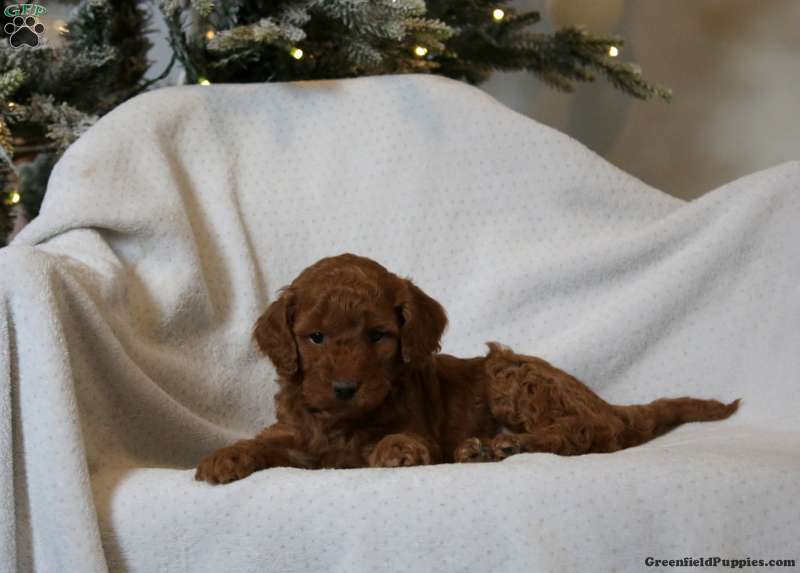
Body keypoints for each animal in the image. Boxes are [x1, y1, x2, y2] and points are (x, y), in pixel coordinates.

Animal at [196, 253, 739, 484]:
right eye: (315, 338)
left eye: (377, 336)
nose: (346, 387)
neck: (345, 420)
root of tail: (607, 402)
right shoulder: (299, 437)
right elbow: (266, 443)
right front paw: (225, 458)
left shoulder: (415, 426)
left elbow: (400, 439)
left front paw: (396, 450)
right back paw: (478, 448)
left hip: (512, 374)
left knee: (584, 432)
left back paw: (503, 445)